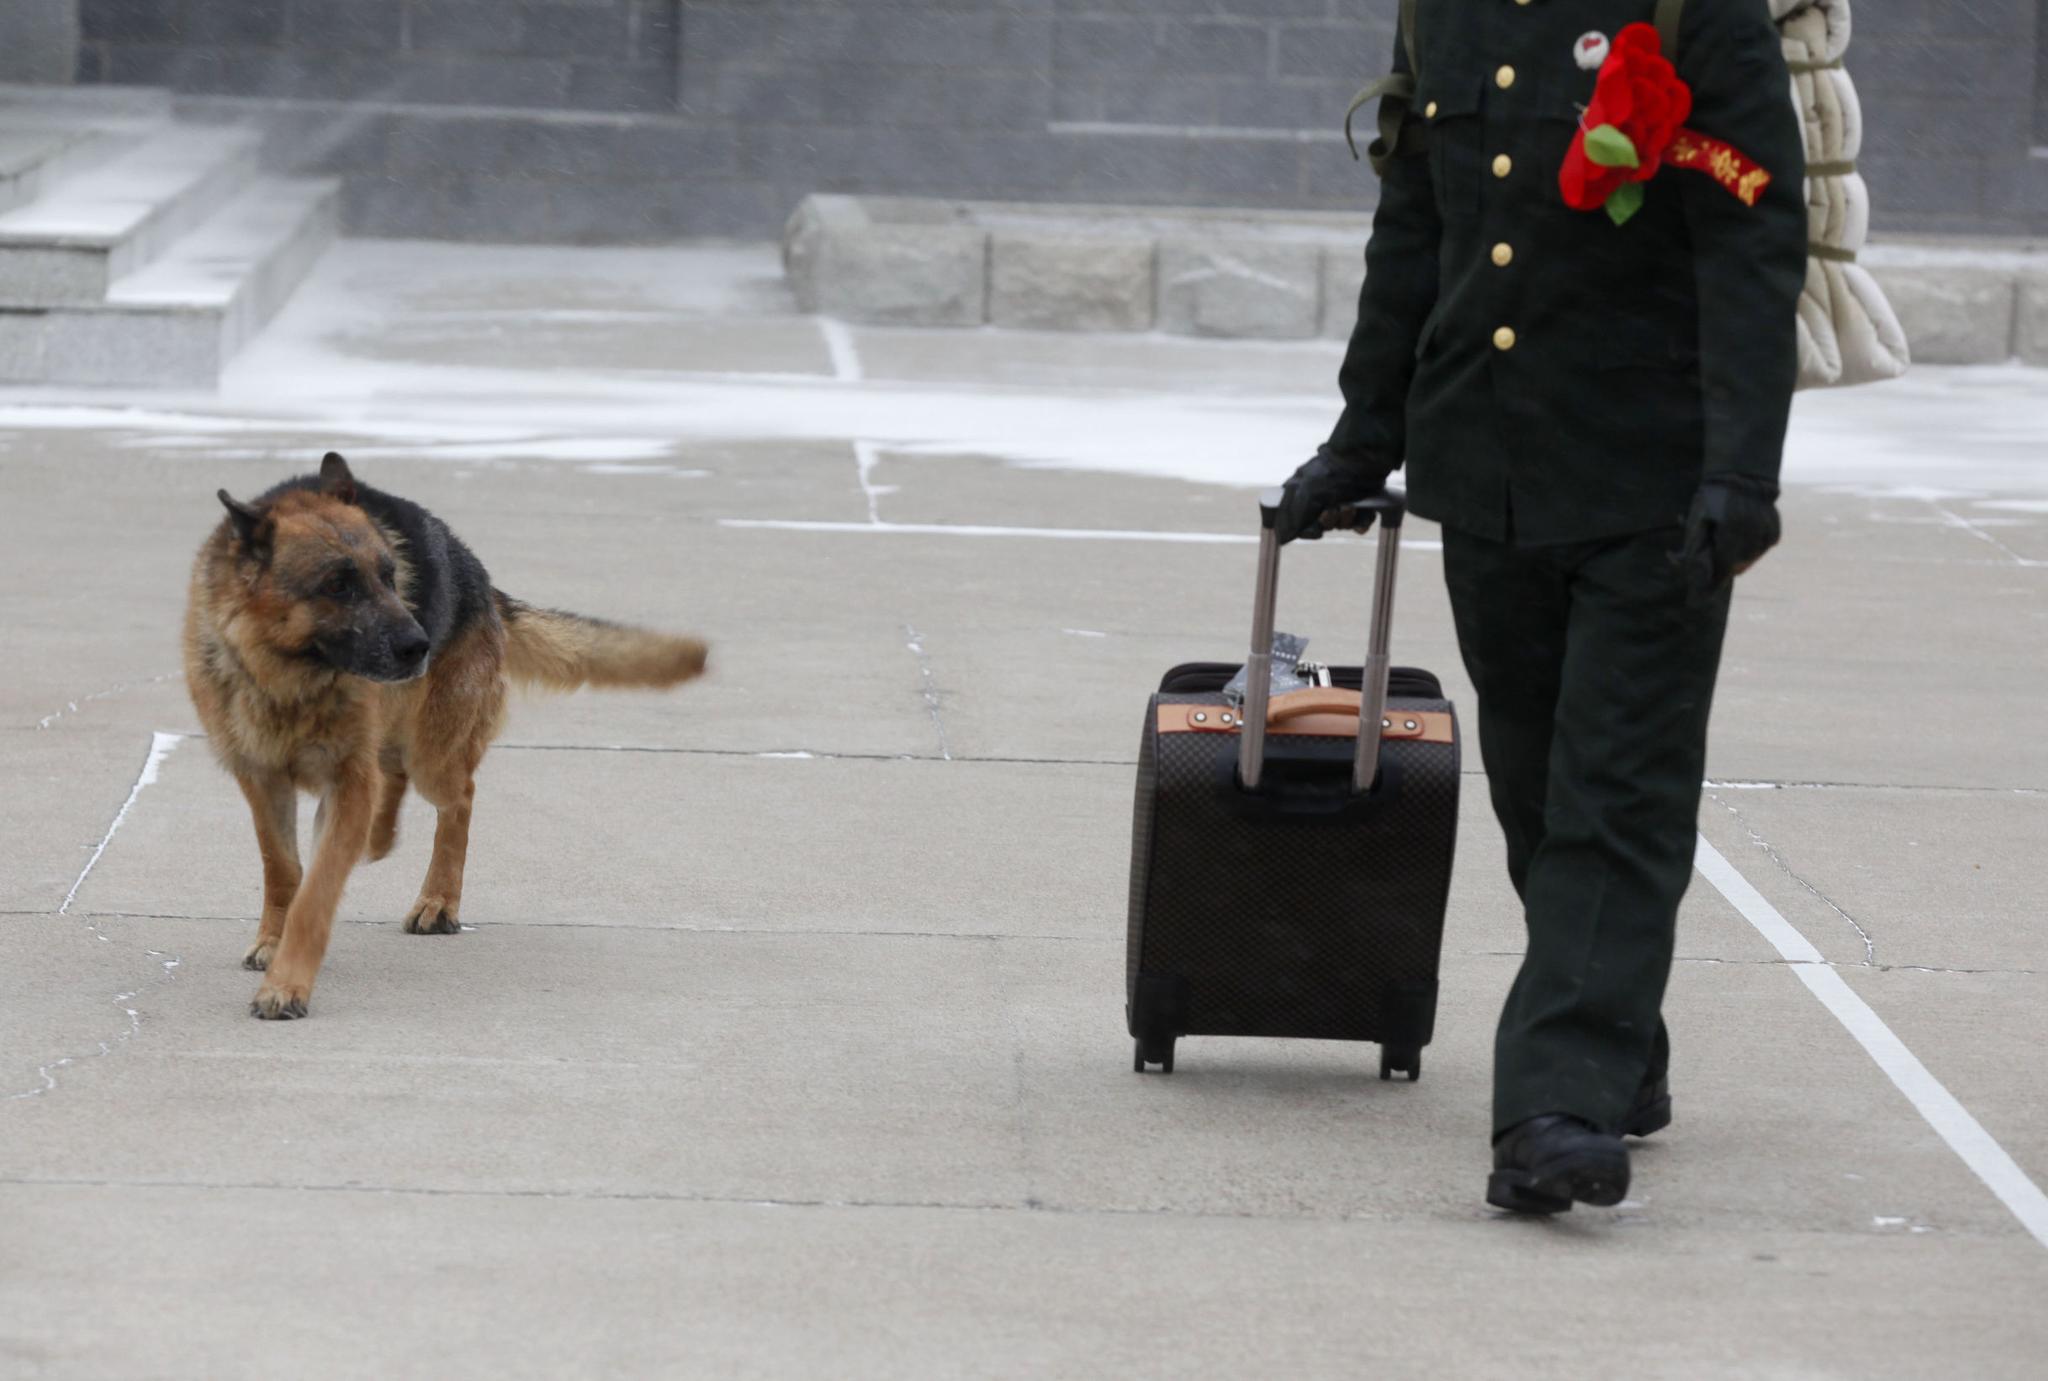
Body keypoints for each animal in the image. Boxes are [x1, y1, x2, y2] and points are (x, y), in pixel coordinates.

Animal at [188, 450, 712, 1012]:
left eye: (390, 576)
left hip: (433, 755)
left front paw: (287, 984)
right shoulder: (262, 782)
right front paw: (272, 940)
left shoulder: (346, 780)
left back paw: (437, 900)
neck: (287, 677)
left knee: (457, 796)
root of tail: (478, 577)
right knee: (393, 776)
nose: (419, 646)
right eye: (337, 585)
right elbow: (283, 870)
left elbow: (317, 892)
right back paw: (379, 838)